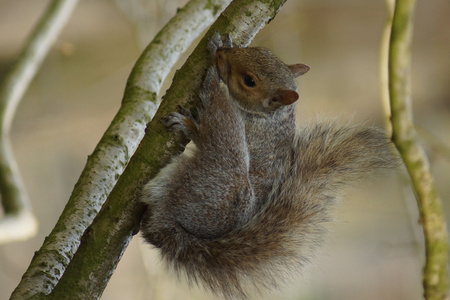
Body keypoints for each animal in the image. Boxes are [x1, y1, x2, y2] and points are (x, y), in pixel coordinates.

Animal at [140, 31, 398, 298]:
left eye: (249, 80)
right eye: (261, 50)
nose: (222, 53)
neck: (271, 115)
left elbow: (216, 113)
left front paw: (212, 61)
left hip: (220, 172)